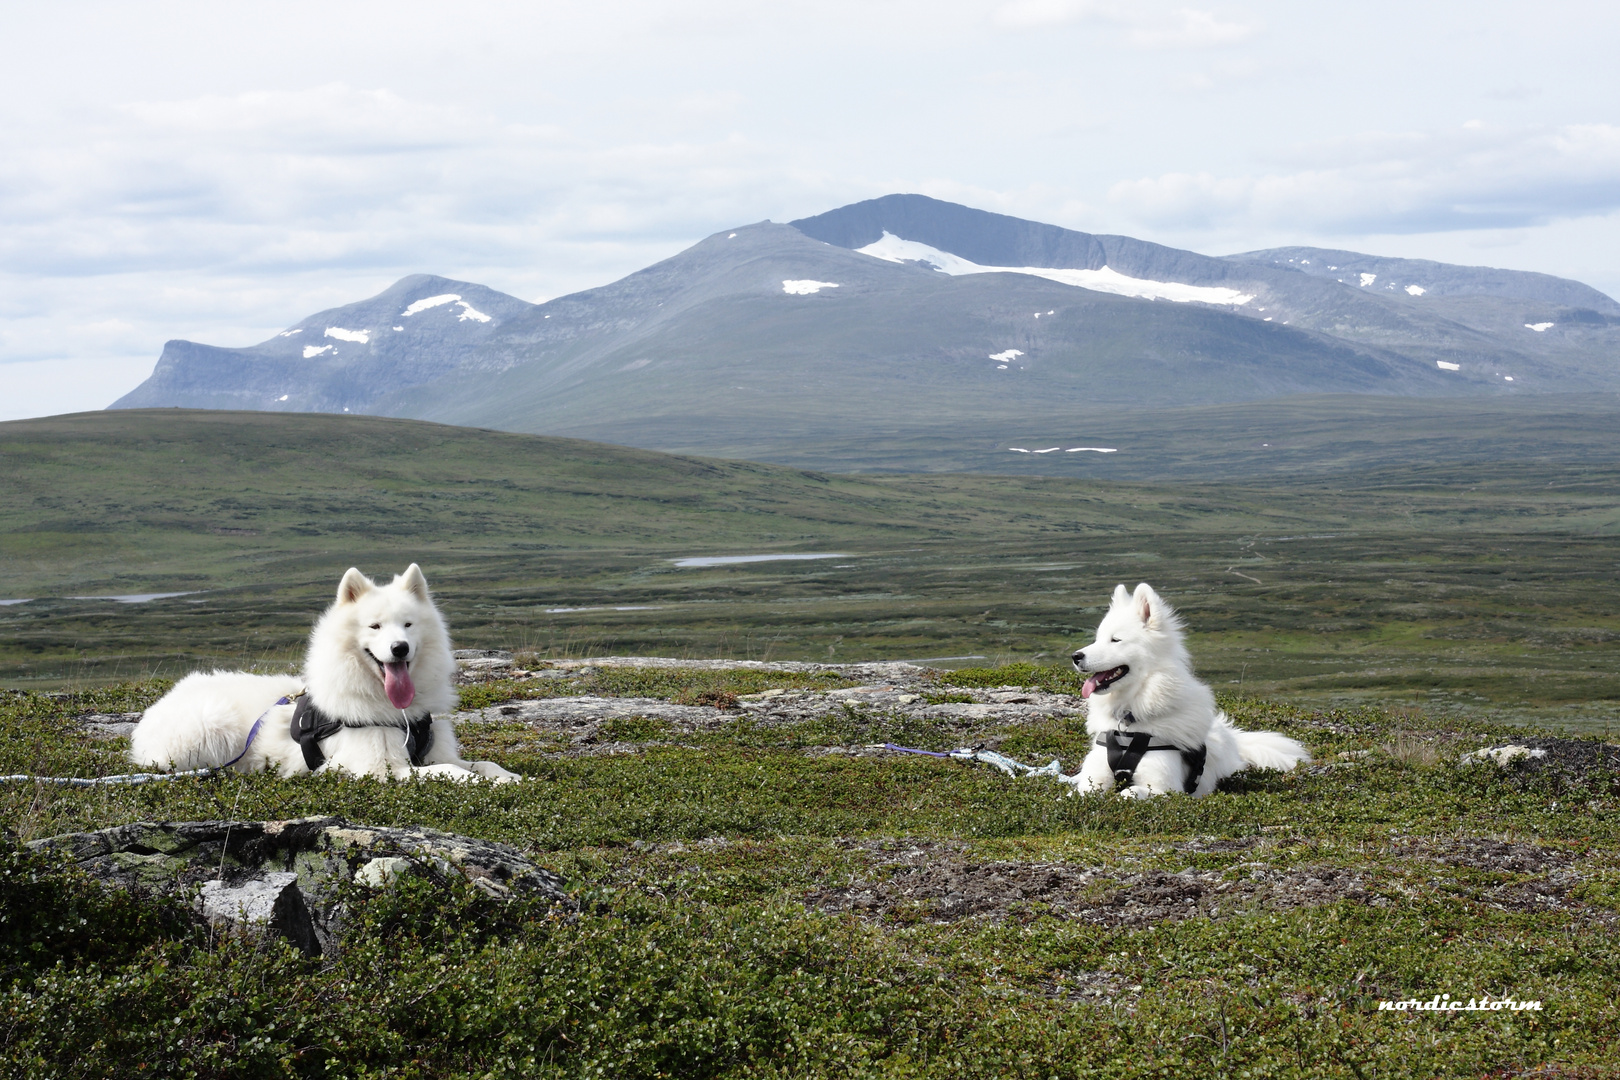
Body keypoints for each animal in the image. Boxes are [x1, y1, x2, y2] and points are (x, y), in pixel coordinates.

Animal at [135, 566, 524, 786]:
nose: (399, 648)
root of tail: (160, 703)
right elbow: (455, 773)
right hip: (212, 724)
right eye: (375, 626)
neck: (397, 714)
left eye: (408, 625)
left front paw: (513, 777)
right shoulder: (378, 768)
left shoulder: (433, 752)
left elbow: (482, 763)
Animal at [1062, 582, 1315, 803]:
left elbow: (1129, 792)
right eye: (1097, 639)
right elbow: (1079, 792)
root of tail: (1233, 737)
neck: (1129, 723)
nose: (1075, 656)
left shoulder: (1165, 787)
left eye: (1115, 640)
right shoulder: (1095, 777)